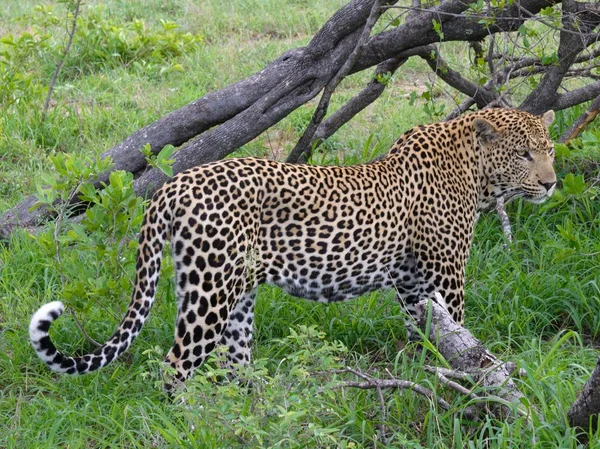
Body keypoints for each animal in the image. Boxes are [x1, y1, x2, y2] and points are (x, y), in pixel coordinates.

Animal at [30, 107, 556, 386]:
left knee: (234, 361)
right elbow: (462, 338)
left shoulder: (412, 286)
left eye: (549, 150)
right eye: (524, 153)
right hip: (210, 294)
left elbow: (425, 337)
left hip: (229, 291)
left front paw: (425, 374)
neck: (475, 172)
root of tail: (172, 185)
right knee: (176, 365)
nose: (551, 183)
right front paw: (463, 381)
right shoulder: (445, 275)